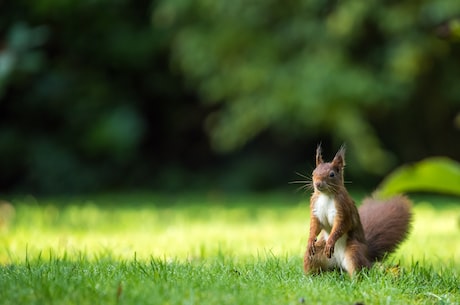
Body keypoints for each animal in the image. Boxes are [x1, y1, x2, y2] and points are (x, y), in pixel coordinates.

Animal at [304, 145, 412, 276]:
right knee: (312, 261)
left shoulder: (343, 208)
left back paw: (354, 279)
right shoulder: (315, 208)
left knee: (361, 268)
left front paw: (330, 242)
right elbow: (315, 225)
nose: (318, 184)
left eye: (332, 174)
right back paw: (312, 276)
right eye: (313, 173)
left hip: (354, 252)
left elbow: (341, 225)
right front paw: (310, 240)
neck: (326, 195)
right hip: (315, 255)